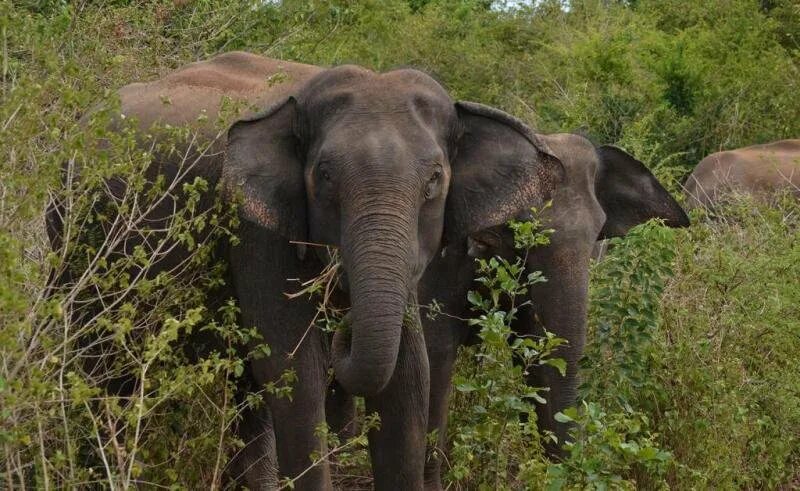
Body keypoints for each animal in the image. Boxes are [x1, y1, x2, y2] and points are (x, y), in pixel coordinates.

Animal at [48, 52, 564, 490]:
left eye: (435, 180)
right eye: (325, 177)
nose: (345, 320)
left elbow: (407, 374)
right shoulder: (256, 228)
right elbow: (295, 369)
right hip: (71, 228)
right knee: (100, 362)